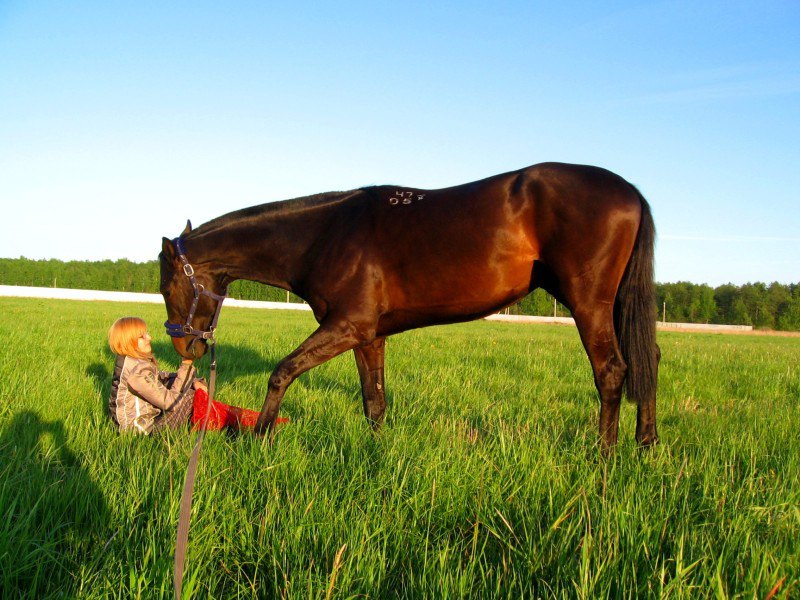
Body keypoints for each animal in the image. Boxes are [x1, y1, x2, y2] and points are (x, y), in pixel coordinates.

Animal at [159, 162, 660, 448]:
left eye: (166, 286)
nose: (187, 348)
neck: (327, 234)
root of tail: (631, 190)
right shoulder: (368, 335)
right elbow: (374, 401)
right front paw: (377, 454)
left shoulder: (348, 326)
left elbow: (282, 371)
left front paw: (258, 437)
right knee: (646, 359)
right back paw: (646, 443)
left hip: (588, 302)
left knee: (612, 370)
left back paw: (603, 456)